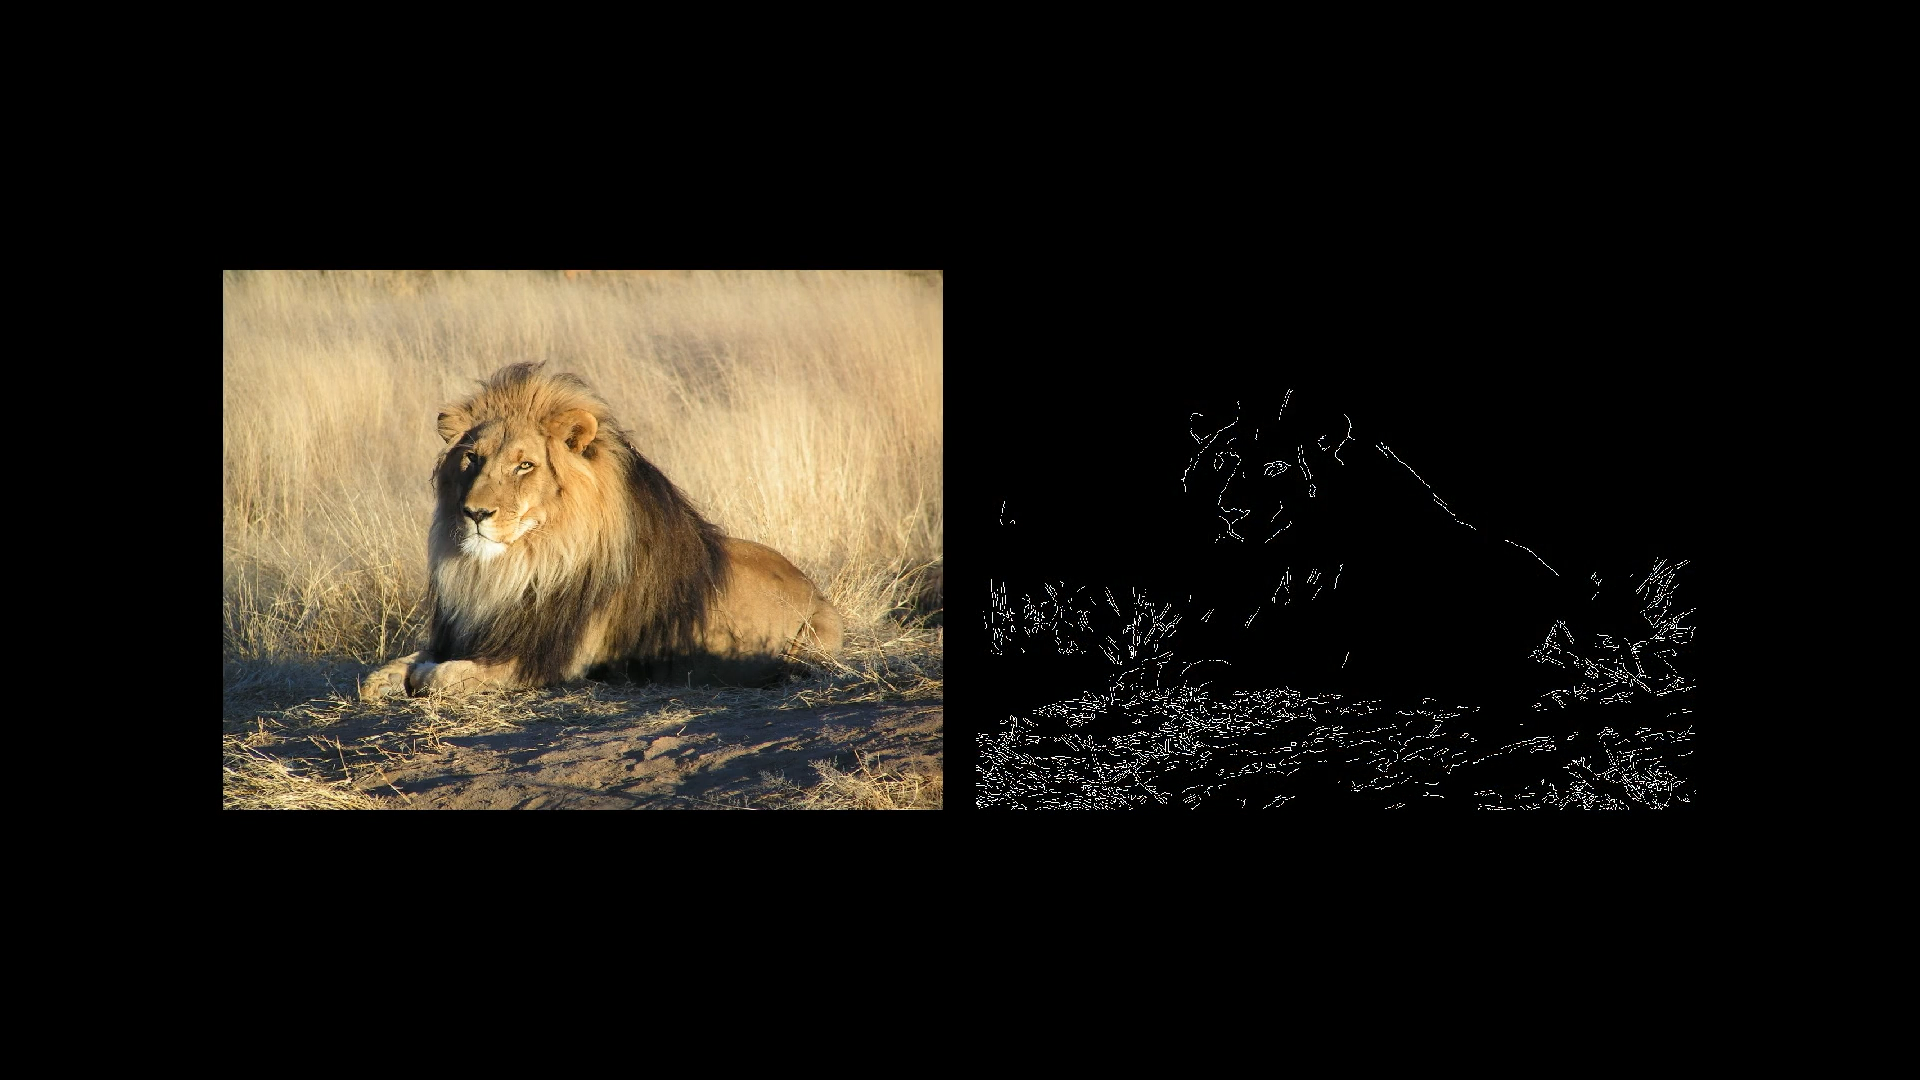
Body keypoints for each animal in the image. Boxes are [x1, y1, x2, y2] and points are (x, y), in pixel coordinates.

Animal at [361, 362, 842, 700]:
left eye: (524, 465)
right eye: (472, 458)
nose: (475, 513)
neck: (518, 566)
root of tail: (815, 588)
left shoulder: (549, 661)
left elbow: (441, 676)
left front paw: (423, 675)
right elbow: (390, 668)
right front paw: (386, 677)